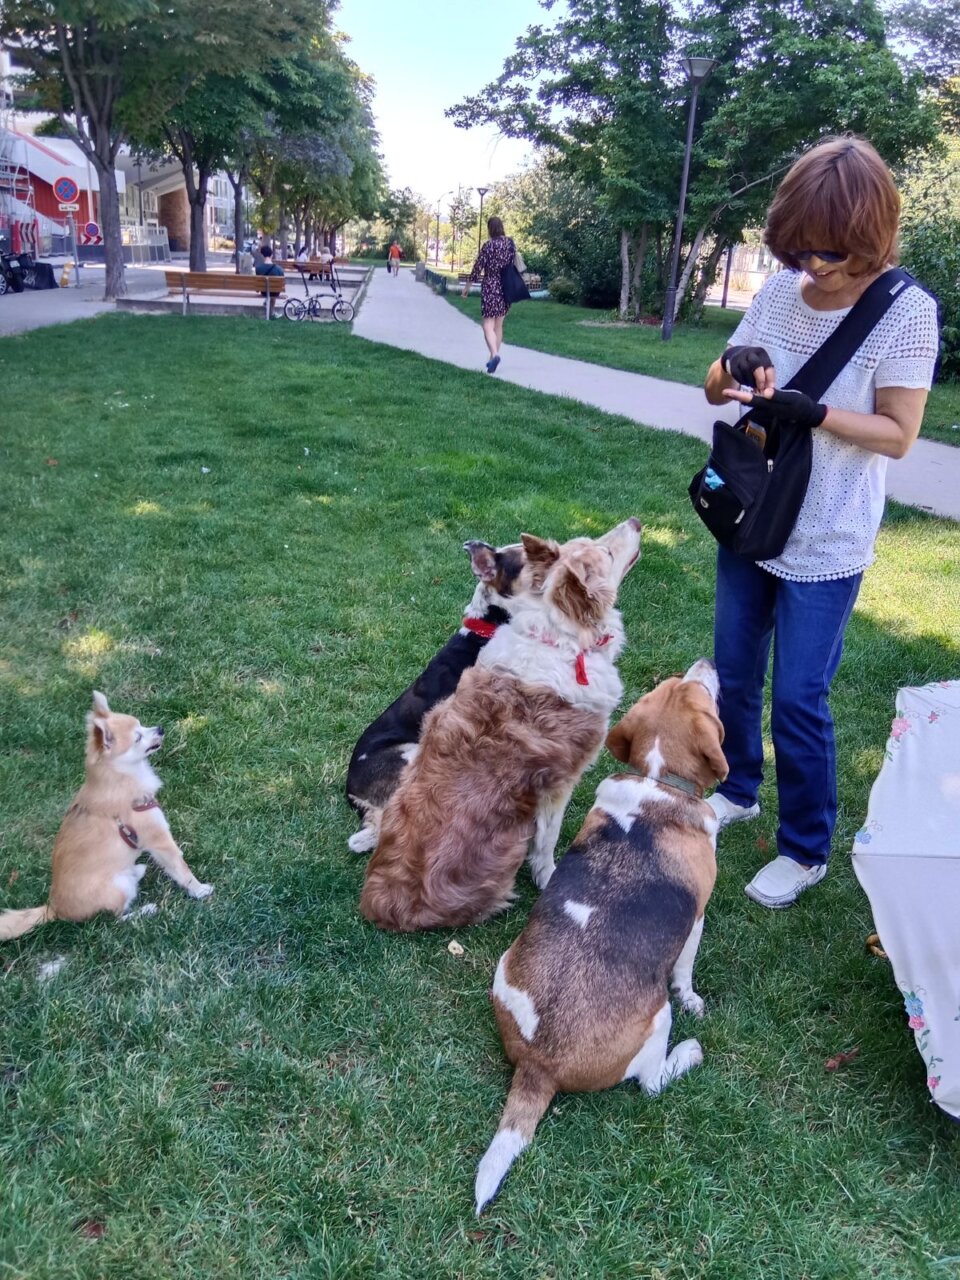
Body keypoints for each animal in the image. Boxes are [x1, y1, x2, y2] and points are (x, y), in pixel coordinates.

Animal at [0, 691, 212, 942]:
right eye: (138, 737)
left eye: (142, 724)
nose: (160, 728)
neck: (121, 777)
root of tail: (54, 908)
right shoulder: (159, 840)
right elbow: (181, 868)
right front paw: (199, 890)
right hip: (117, 887)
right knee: (116, 919)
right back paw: (146, 910)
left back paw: (137, 871)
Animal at [473, 660, 727, 1208]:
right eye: (699, 691)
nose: (707, 664)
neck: (658, 781)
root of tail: (541, 1064)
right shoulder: (697, 918)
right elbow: (686, 971)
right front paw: (695, 998)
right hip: (658, 1018)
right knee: (652, 1083)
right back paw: (688, 1053)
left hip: (504, 965)